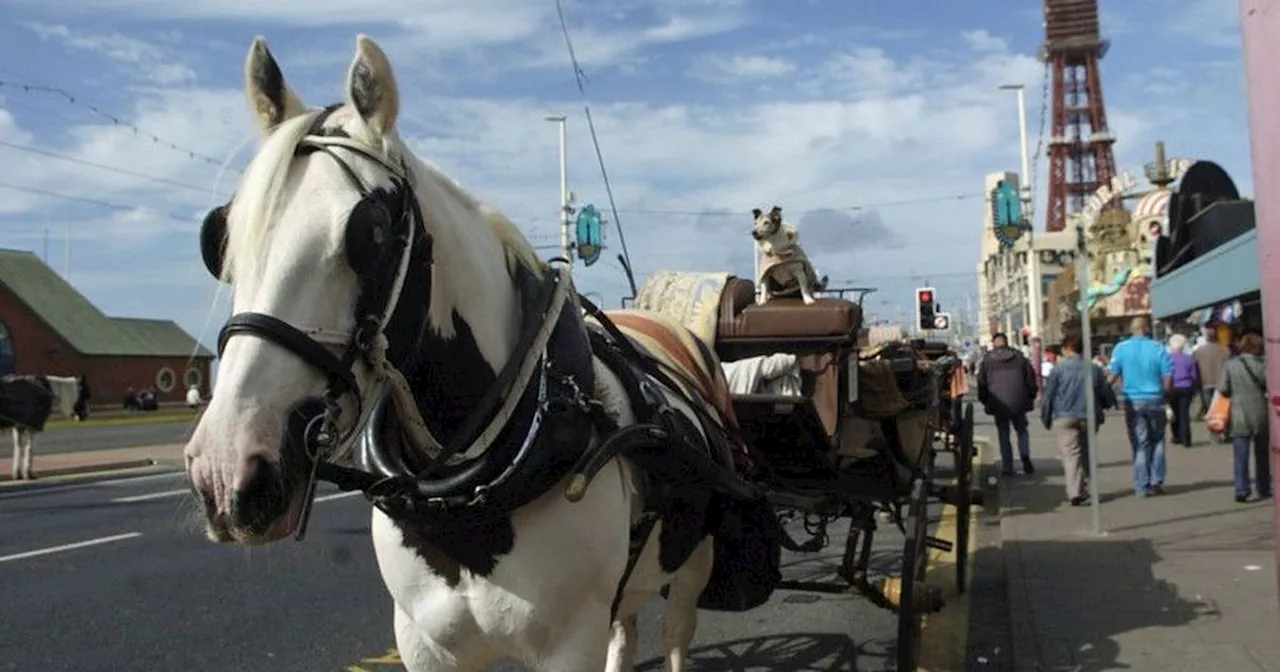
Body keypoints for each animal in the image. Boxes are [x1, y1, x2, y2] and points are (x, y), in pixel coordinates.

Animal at [183, 36, 778, 670]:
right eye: (218, 238)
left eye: (370, 232)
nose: (226, 472)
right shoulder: (423, 641)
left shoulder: (571, 642)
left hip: (694, 565)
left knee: (675, 634)